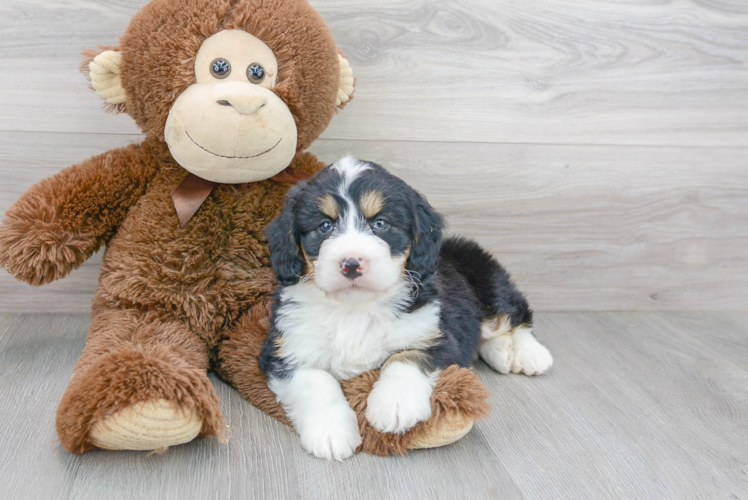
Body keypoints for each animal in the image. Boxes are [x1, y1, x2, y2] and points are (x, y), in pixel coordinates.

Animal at [260, 156, 552, 460]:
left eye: (381, 223)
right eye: (325, 226)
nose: (351, 264)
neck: (355, 307)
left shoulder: (434, 334)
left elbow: (404, 358)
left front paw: (394, 405)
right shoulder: (285, 347)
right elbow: (315, 380)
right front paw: (330, 432)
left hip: (488, 284)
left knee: (515, 316)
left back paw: (530, 354)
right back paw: (501, 353)